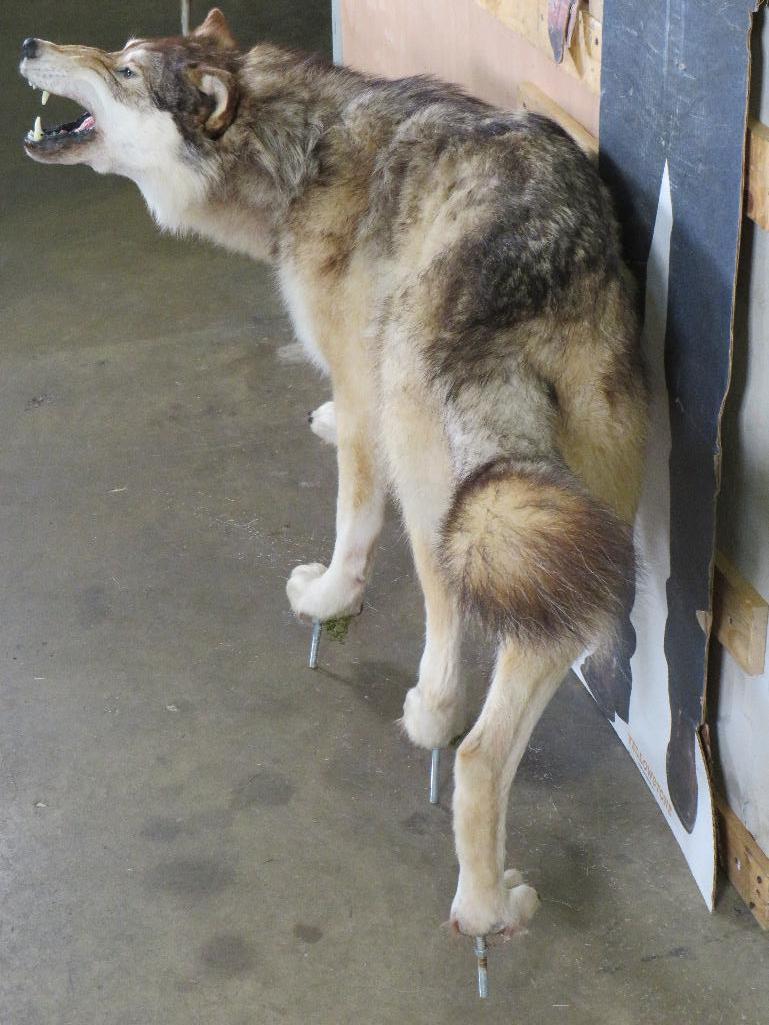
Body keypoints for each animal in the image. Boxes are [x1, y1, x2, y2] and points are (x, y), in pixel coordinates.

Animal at [19, 8, 652, 938]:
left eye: (128, 71)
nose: (30, 46)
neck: (296, 149)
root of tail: (536, 259)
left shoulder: (361, 396)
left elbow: (353, 522)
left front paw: (325, 599)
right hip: (579, 542)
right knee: (496, 731)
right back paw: (495, 903)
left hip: (435, 484)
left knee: (455, 670)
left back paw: (445, 780)